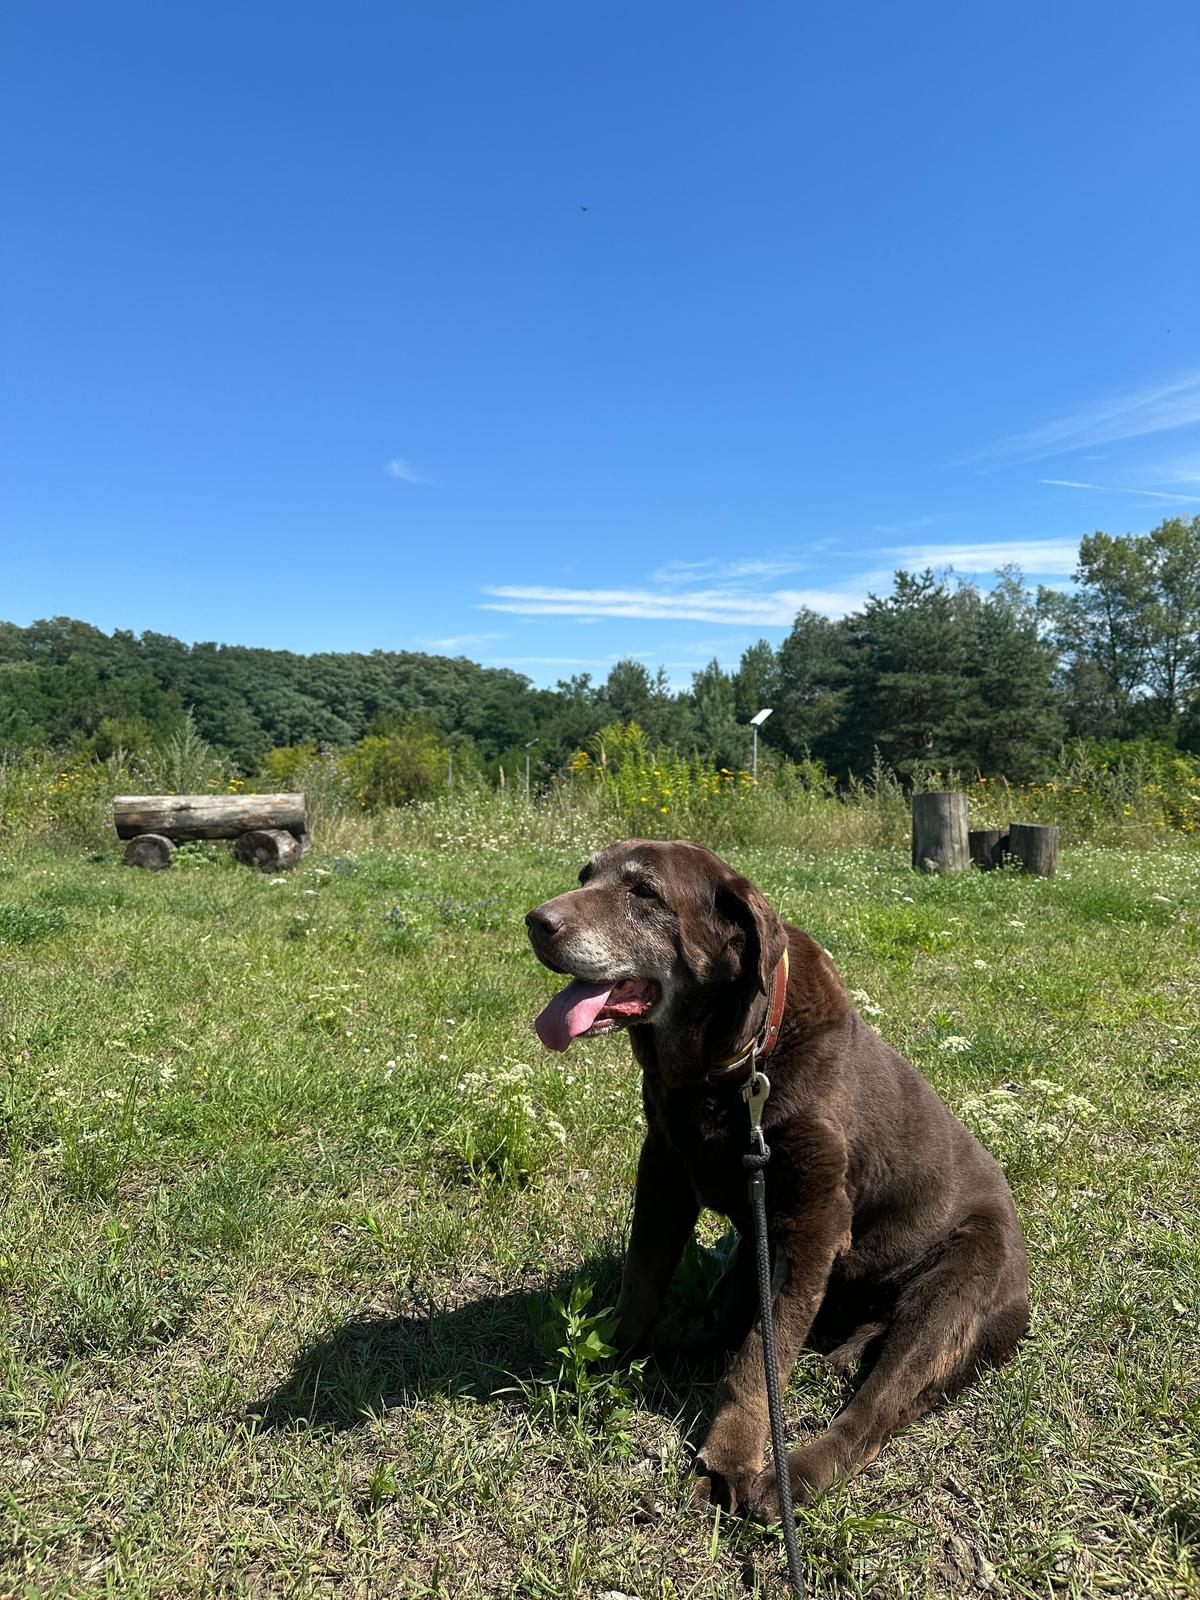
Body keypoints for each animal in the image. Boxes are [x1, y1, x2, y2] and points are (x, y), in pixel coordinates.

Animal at [528, 844, 1036, 1516]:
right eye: (586, 876)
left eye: (646, 893)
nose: (536, 921)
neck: (736, 1062)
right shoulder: (664, 1174)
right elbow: (643, 1280)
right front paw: (611, 1352)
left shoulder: (812, 1225)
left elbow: (758, 1363)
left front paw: (730, 1460)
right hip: (756, 1252)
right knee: (736, 1324)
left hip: (954, 1290)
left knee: (872, 1409)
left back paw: (795, 1473)